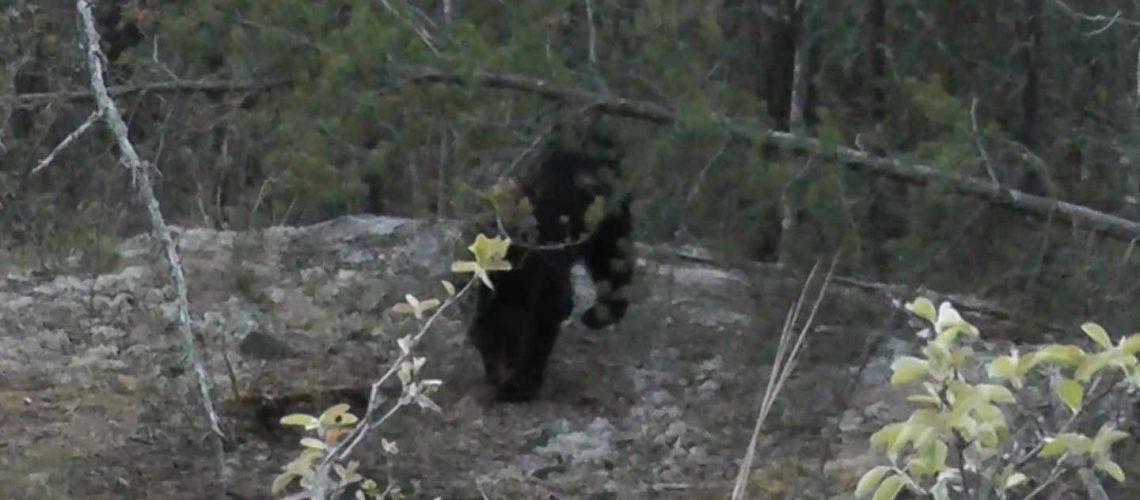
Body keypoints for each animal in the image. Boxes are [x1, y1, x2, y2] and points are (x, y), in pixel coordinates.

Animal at [467, 122, 638, 403]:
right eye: (482, 348)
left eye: (494, 346)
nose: (491, 378)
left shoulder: (544, 265)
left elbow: (550, 309)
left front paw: (520, 386)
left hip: (607, 215)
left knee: (613, 255)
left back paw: (599, 314)